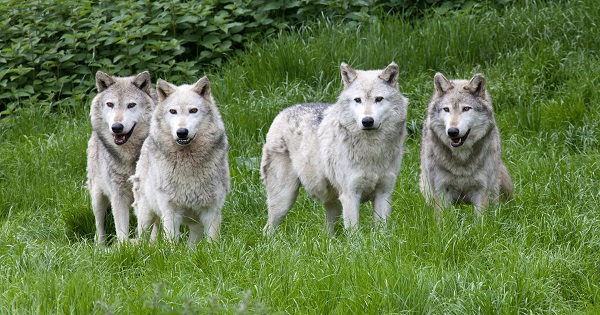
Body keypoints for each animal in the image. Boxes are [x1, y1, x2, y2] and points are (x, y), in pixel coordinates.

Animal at [87, 71, 158, 244]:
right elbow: (121, 232)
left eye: (131, 105)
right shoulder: (118, 196)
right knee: (99, 226)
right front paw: (124, 248)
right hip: (97, 196)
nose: (117, 127)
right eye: (110, 104)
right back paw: (100, 246)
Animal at [131, 77, 230, 244]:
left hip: (195, 225)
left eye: (193, 110)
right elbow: (171, 242)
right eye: (173, 111)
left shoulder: (212, 211)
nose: (182, 132)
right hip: (146, 215)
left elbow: (212, 243)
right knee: (142, 239)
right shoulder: (170, 211)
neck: (187, 162)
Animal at [262, 62, 408, 235]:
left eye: (378, 99)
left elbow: (382, 231)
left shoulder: (384, 194)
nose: (367, 121)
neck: (372, 150)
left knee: (327, 232)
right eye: (357, 100)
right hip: (284, 200)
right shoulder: (350, 195)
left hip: (334, 205)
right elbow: (354, 233)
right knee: (267, 229)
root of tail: (283, 112)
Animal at [420, 73, 512, 218]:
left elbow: (481, 220)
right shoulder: (441, 190)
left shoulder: (481, 190)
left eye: (466, 109)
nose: (452, 131)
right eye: (446, 109)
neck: (461, 159)